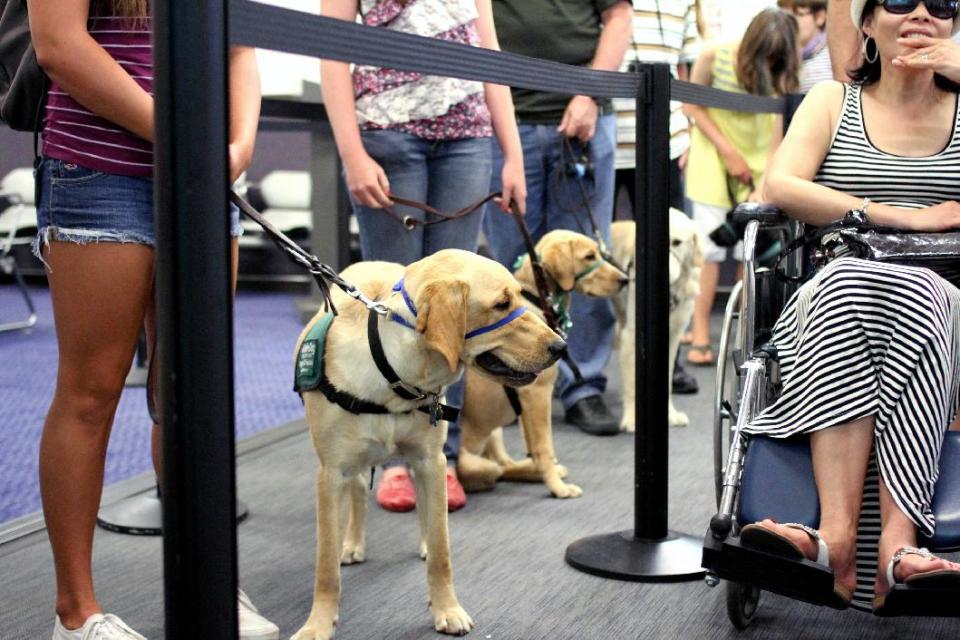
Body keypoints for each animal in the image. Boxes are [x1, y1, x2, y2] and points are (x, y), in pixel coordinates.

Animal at [292, 250, 564, 640]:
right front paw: (318, 623)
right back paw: (353, 543)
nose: (561, 347)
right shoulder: (331, 474)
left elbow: (441, 550)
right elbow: (325, 566)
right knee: (358, 494)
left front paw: (447, 609)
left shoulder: (430, 462)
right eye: (502, 304)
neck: (392, 377)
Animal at [458, 230, 632, 500]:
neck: (534, 298)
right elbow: (544, 447)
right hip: (474, 461)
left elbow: (535, 448)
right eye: (589, 256)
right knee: (496, 470)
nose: (625, 279)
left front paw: (547, 475)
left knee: (504, 465)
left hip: (494, 432)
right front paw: (557, 487)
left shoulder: (527, 401)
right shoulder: (537, 394)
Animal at [612, 210, 700, 430]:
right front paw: (631, 418)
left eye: (677, 242)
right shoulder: (632, 337)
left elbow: (666, 382)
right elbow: (632, 384)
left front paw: (670, 415)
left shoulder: (672, 337)